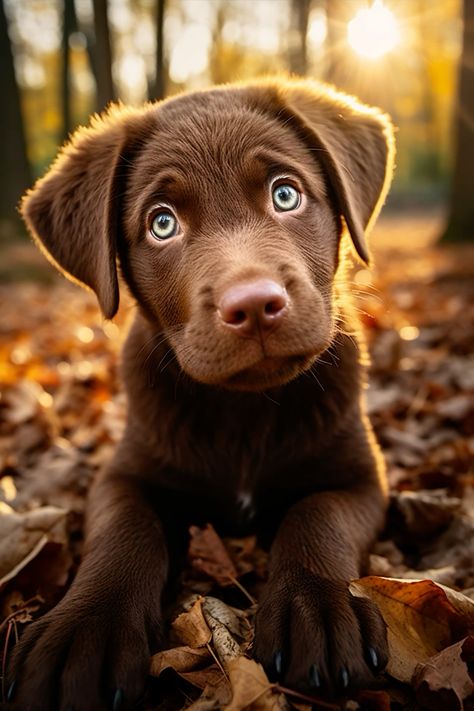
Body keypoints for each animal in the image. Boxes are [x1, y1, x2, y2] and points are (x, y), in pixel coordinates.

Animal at [9, 78, 396, 711]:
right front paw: (83, 631)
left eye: (285, 194)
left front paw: (318, 607)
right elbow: (123, 532)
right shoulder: (124, 474)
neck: (242, 410)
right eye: (162, 224)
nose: (254, 305)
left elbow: (319, 515)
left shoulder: (361, 477)